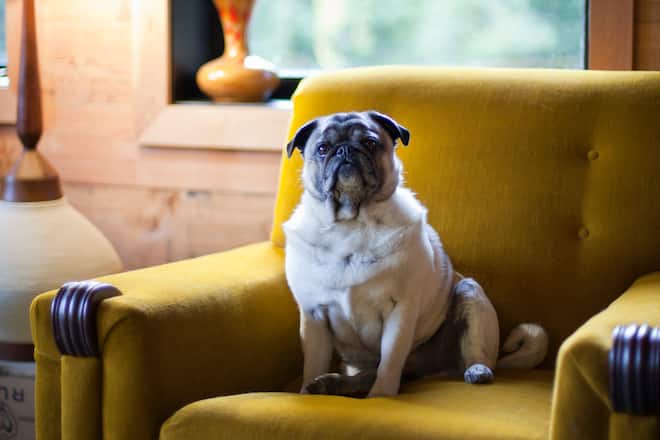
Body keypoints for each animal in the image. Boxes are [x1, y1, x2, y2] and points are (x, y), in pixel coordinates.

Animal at [283, 111, 548, 398]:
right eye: (322, 148)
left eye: (369, 143)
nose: (345, 150)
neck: (351, 224)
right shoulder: (314, 317)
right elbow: (313, 363)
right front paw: (305, 392)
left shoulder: (400, 310)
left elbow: (389, 362)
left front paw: (381, 397)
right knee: (366, 374)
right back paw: (328, 384)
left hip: (470, 295)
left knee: (474, 353)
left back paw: (477, 371)